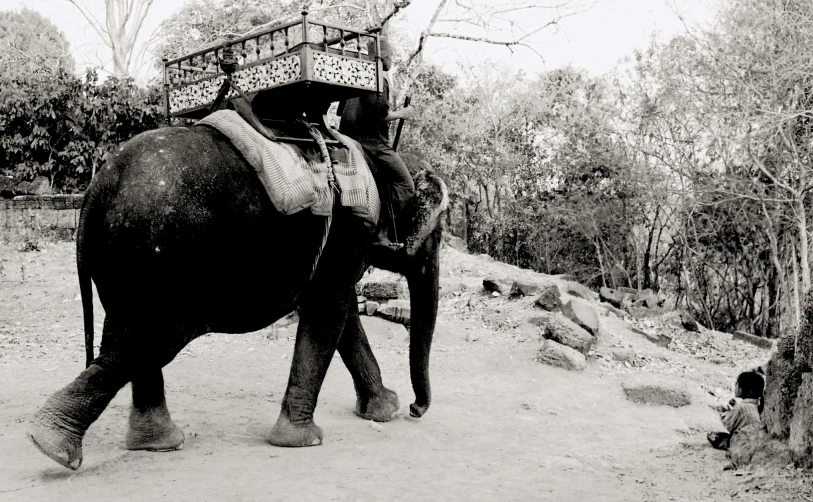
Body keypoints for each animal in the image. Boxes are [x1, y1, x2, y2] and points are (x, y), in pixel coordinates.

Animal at [25, 122, 448, 470]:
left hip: (123, 259)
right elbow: (331, 310)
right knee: (151, 340)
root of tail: (98, 185)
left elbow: (340, 315)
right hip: (159, 251)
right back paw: (52, 443)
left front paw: (383, 410)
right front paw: (304, 441)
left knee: (125, 335)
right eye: (439, 232)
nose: (416, 409)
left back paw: (155, 444)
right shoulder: (349, 230)